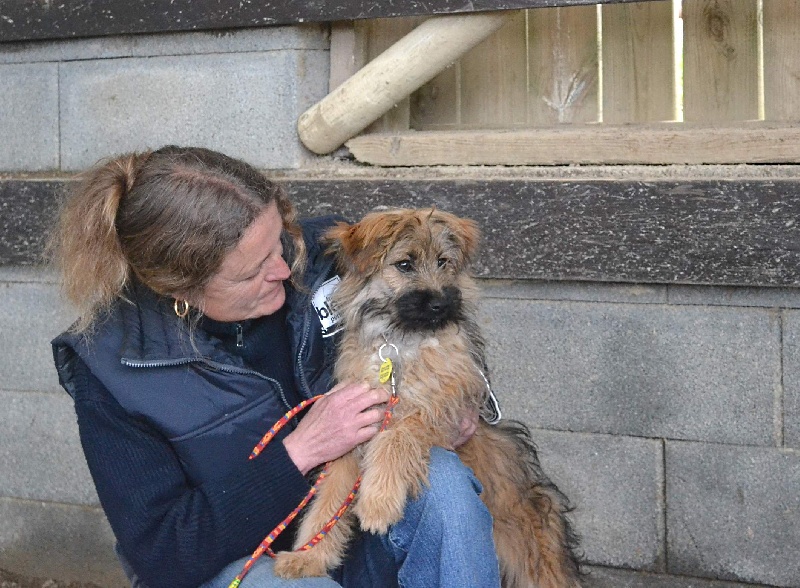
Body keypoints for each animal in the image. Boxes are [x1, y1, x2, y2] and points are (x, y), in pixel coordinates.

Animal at [276, 208, 580, 588]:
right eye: (405, 264)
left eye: (443, 262)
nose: (440, 303)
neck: (401, 343)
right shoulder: (351, 433)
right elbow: (328, 501)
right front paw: (308, 557)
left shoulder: (440, 406)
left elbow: (397, 436)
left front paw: (378, 501)